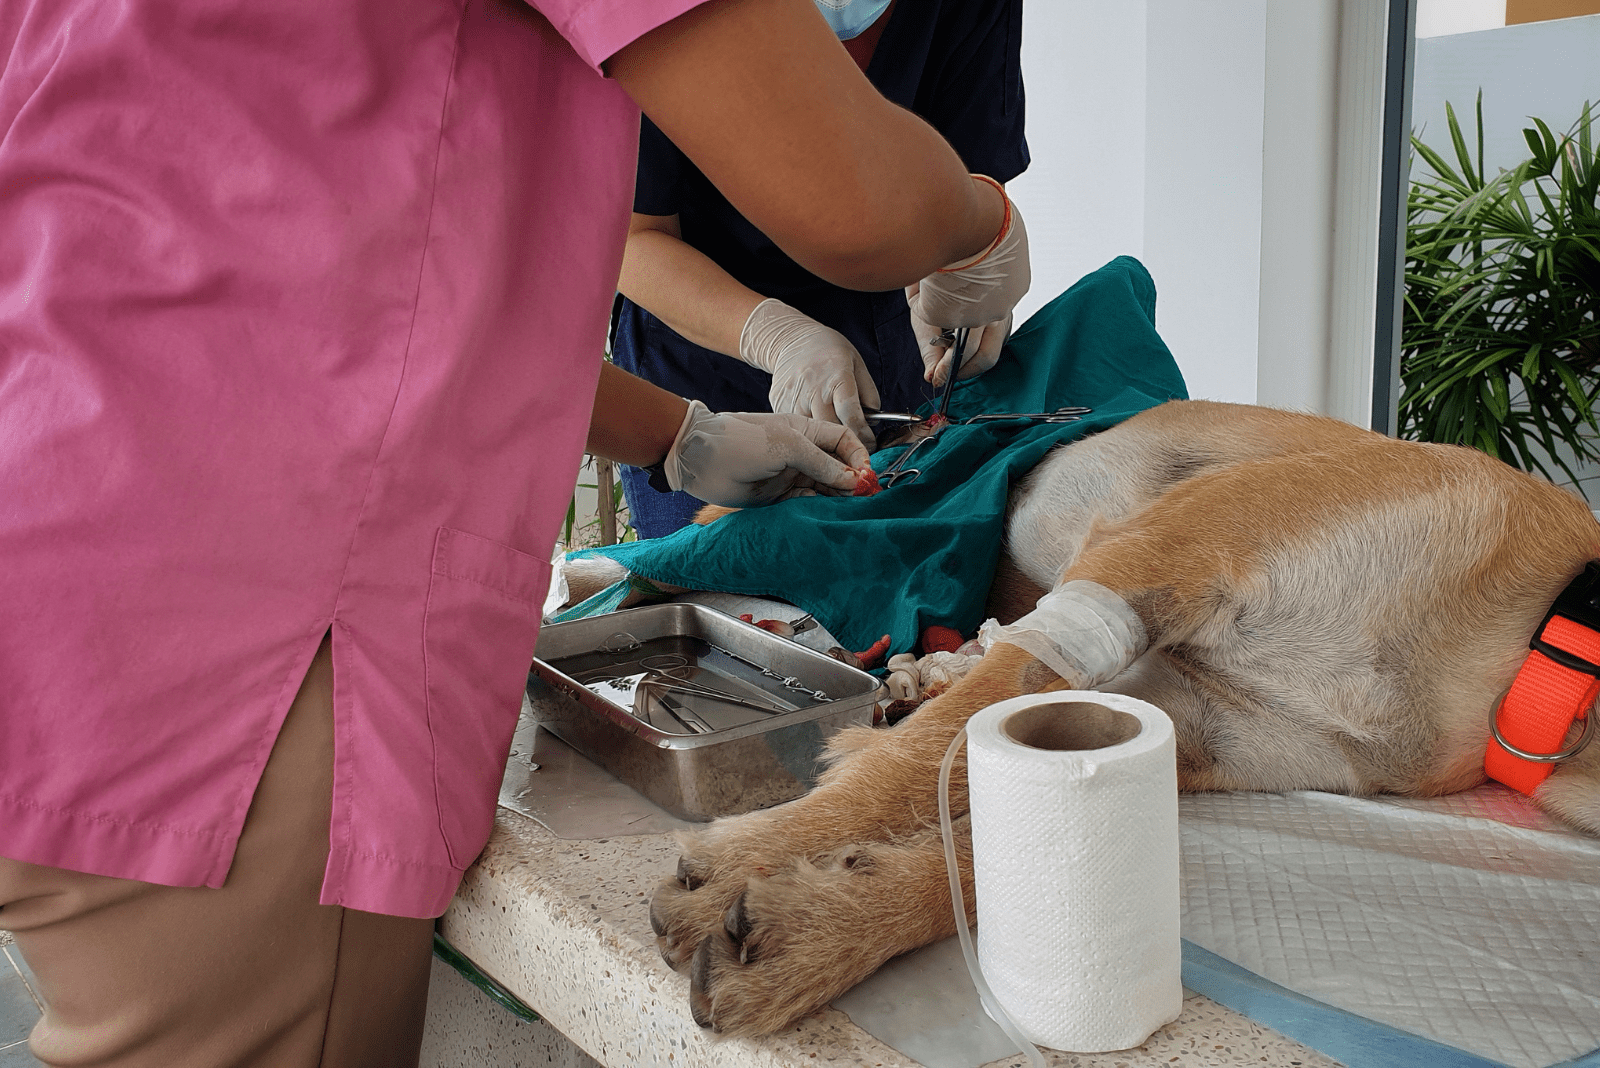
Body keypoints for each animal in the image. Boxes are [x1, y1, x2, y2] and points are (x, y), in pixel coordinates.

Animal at [569, 399, 1593, 1036]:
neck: (1537, 648)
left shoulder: (1183, 723)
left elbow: (991, 843)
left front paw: (820, 925)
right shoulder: (1173, 547)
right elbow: (927, 762)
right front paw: (757, 852)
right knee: (643, 566)